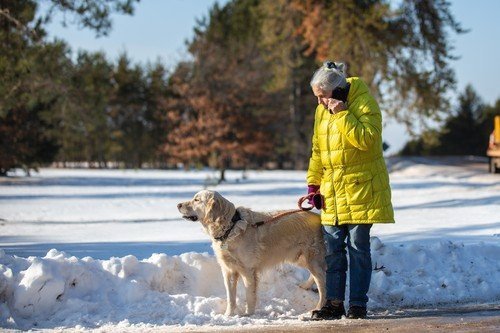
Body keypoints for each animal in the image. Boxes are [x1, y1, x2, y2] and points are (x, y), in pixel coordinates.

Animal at [178, 189, 326, 314]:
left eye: (197, 200)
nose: (178, 204)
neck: (231, 227)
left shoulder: (248, 270)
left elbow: (249, 295)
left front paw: (248, 315)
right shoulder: (229, 270)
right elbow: (231, 297)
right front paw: (228, 315)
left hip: (312, 258)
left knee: (323, 283)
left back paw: (319, 307)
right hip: (300, 258)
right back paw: (304, 286)